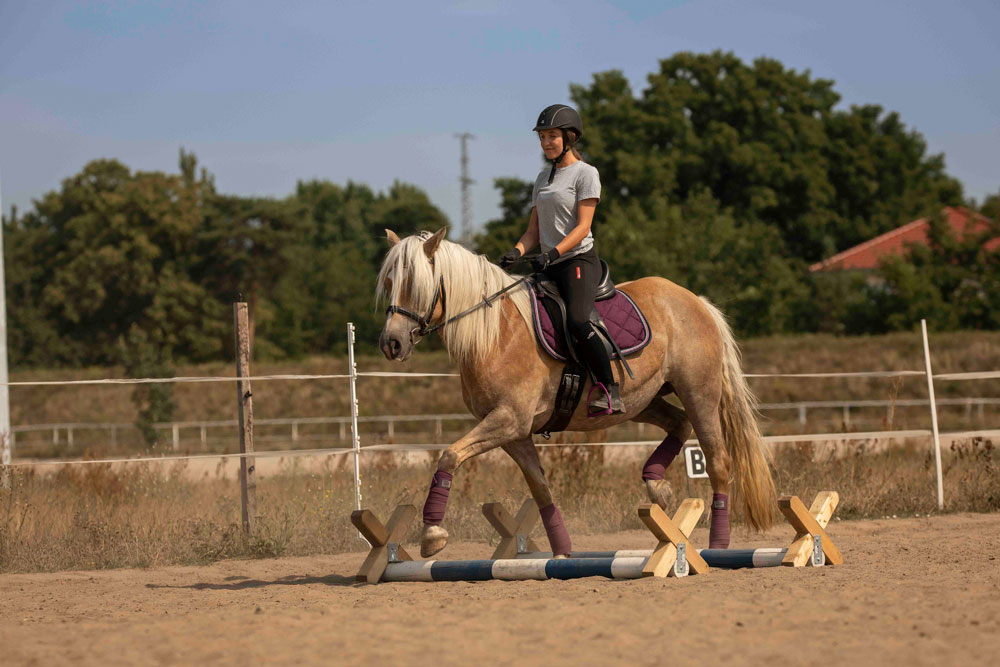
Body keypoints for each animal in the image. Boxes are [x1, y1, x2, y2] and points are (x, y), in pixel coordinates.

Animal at [378, 230, 776, 560]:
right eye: (390, 282)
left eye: (414, 283)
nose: (391, 343)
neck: (496, 333)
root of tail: (696, 301)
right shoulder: (514, 433)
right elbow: (540, 489)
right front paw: (562, 549)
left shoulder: (508, 420)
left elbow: (448, 456)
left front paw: (432, 533)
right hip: (640, 401)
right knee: (677, 423)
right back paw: (656, 485)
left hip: (699, 394)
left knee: (718, 461)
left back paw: (718, 543)